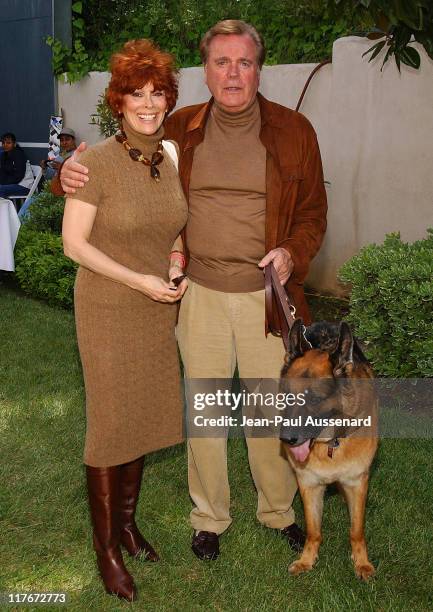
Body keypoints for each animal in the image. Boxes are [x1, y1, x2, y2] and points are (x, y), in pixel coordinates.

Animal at [280, 318, 374, 580]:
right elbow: (314, 531)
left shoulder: (357, 482)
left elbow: (356, 531)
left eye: (313, 400)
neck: (330, 443)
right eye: (287, 396)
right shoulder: (309, 484)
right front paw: (307, 560)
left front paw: (361, 563)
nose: (286, 439)